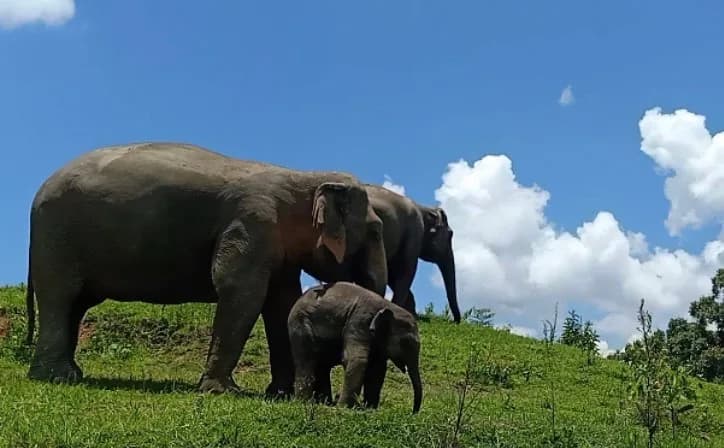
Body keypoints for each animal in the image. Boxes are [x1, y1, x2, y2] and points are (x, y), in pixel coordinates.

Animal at [23, 142, 388, 399]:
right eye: (375, 231)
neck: (302, 177)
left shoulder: (276, 246)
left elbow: (281, 303)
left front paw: (279, 395)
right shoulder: (252, 224)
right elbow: (241, 292)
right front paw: (223, 392)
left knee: (76, 305)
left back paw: (70, 373)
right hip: (56, 238)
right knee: (60, 297)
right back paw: (56, 377)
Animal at [287, 281, 422, 413]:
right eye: (406, 342)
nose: (412, 413)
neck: (387, 305)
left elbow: (377, 369)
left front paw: (369, 409)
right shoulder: (359, 321)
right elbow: (356, 360)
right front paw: (344, 408)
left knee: (322, 367)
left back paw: (324, 403)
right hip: (300, 326)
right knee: (306, 362)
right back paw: (304, 402)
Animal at [304, 184, 460, 323]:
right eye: (451, 235)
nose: (456, 321)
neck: (423, 208)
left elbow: (391, 273)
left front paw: (412, 314)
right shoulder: (415, 232)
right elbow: (405, 270)